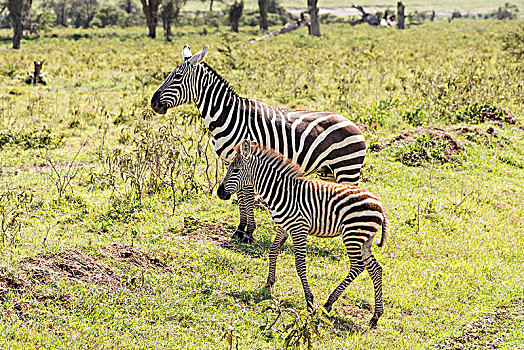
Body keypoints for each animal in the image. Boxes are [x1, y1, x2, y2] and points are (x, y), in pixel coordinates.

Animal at [149, 44, 366, 243]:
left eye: (177, 77)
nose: (154, 103)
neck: (229, 116)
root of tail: (354, 125)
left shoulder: (248, 159)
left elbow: (245, 196)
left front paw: (247, 231)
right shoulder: (232, 163)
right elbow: (239, 195)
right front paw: (240, 229)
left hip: (346, 169)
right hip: (328, 172)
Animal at [217, 139, 388, 328]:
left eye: (235, 170)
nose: (219, 193)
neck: (282, 192)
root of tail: (380, 206)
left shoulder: (299, 229)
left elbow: (300, 265)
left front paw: (309, 301)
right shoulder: (284, 227)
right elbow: (273, 251)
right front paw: (269, 284)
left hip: (352, 235)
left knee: (358, 266)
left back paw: (328, 303)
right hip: (365, 240)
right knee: (375, 268)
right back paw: (375, 316)